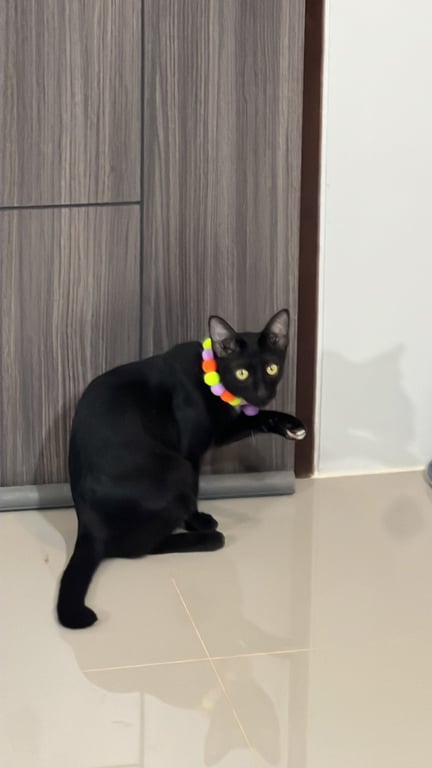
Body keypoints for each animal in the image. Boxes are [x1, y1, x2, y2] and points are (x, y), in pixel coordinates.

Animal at [56, 309, 306, 629]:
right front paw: (197, 520)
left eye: (272, 368)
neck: (212, 376)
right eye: (242, 373)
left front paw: (289, 424)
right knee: (131, 548)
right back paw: (207, 539)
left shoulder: (221, 429)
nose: (262, 394)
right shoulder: (192, 451)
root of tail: (87, 524)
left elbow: (254, 418)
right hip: (177, 469)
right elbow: (195, 493)